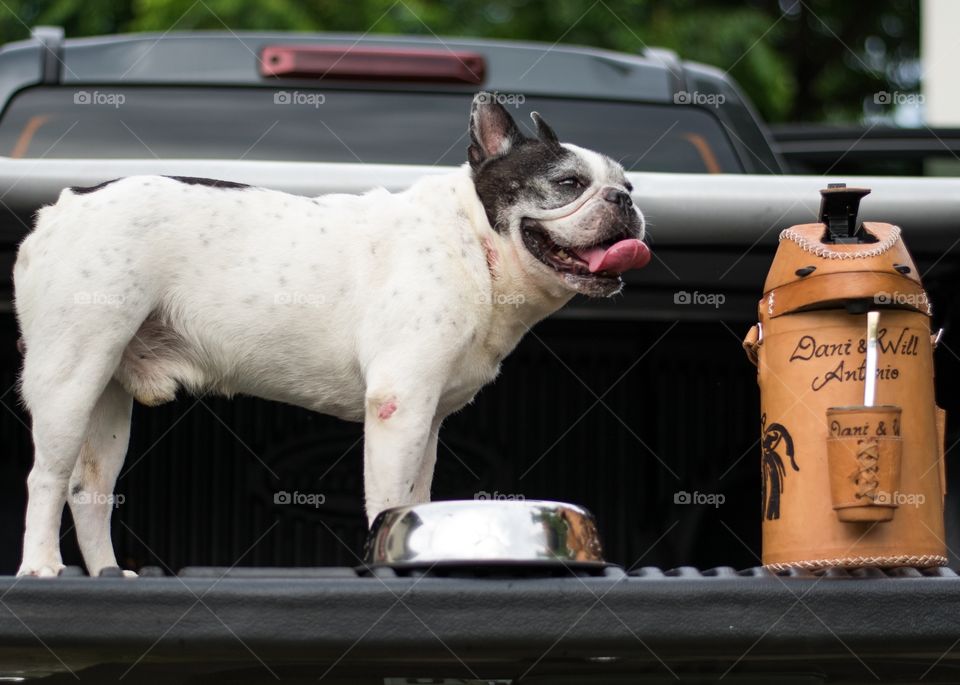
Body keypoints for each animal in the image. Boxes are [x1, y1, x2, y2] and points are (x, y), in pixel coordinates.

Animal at [13, 89, 644, 572]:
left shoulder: (426, 421)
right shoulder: (399, 408)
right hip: (70, 378)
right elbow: (388, 501)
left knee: (88, 492)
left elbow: (416, 499)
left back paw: (108, 574)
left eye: (628, 183)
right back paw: (41, 567)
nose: (624, 200)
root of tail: (65, 206)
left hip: (108, 398)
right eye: (567, 183)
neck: (471, 240)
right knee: (46, 478)